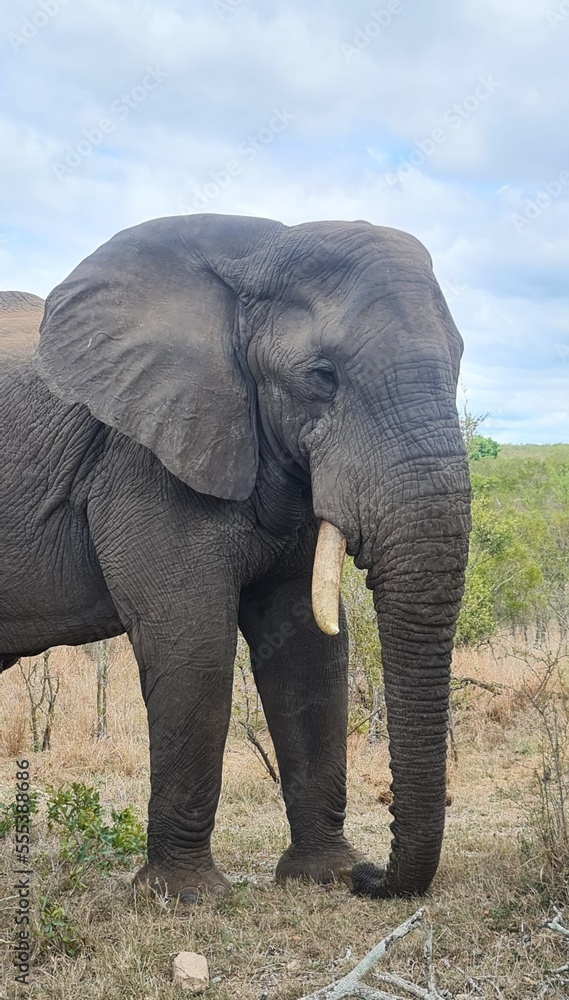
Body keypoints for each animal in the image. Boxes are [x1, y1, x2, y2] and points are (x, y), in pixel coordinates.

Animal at [0, 214, 471, 901]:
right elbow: (193, 643)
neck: (259, 252)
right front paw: (187, 897)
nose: (372, 878)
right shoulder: (144, 459)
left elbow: (307, 651)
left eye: (459, 362)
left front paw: (323, 876)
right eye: (321, 376)